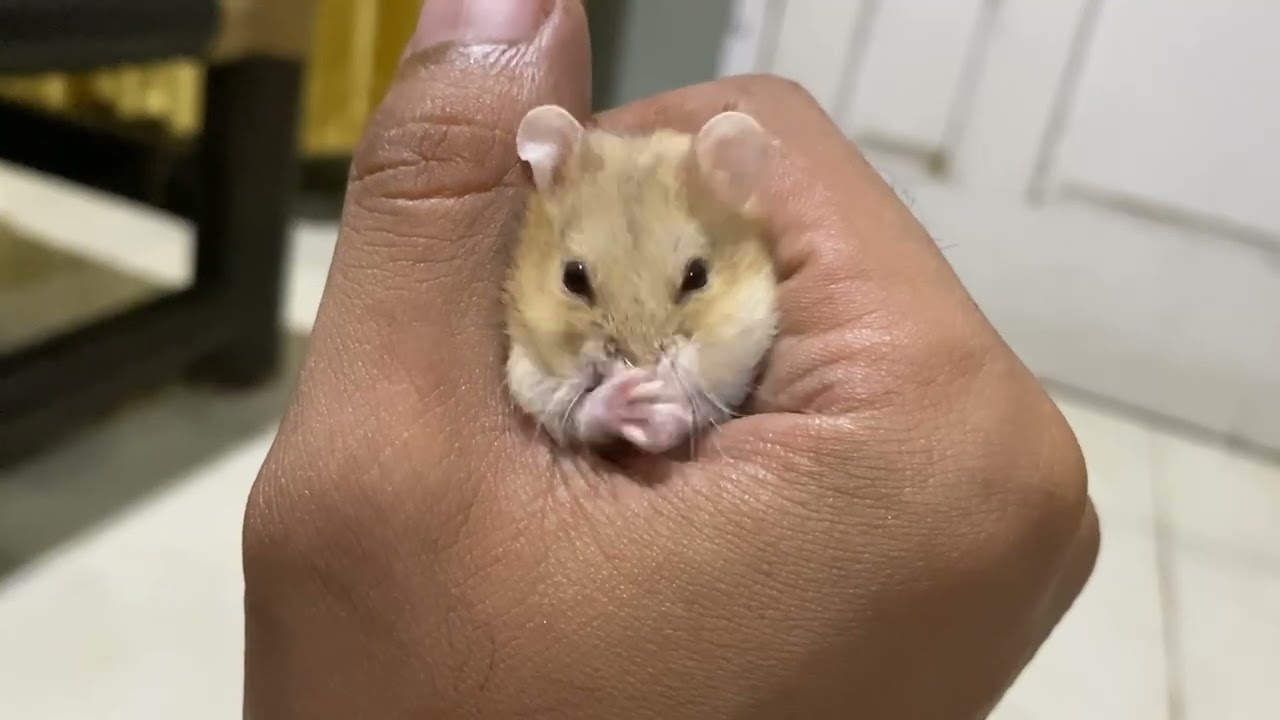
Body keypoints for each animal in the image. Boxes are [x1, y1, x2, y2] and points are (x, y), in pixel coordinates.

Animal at [503, 104, 779, 454]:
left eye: (697, 276)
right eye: (573, 278)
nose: (642, 369)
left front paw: (661, 403)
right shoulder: (528, 371)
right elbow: (579, 415)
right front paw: (628, 397)